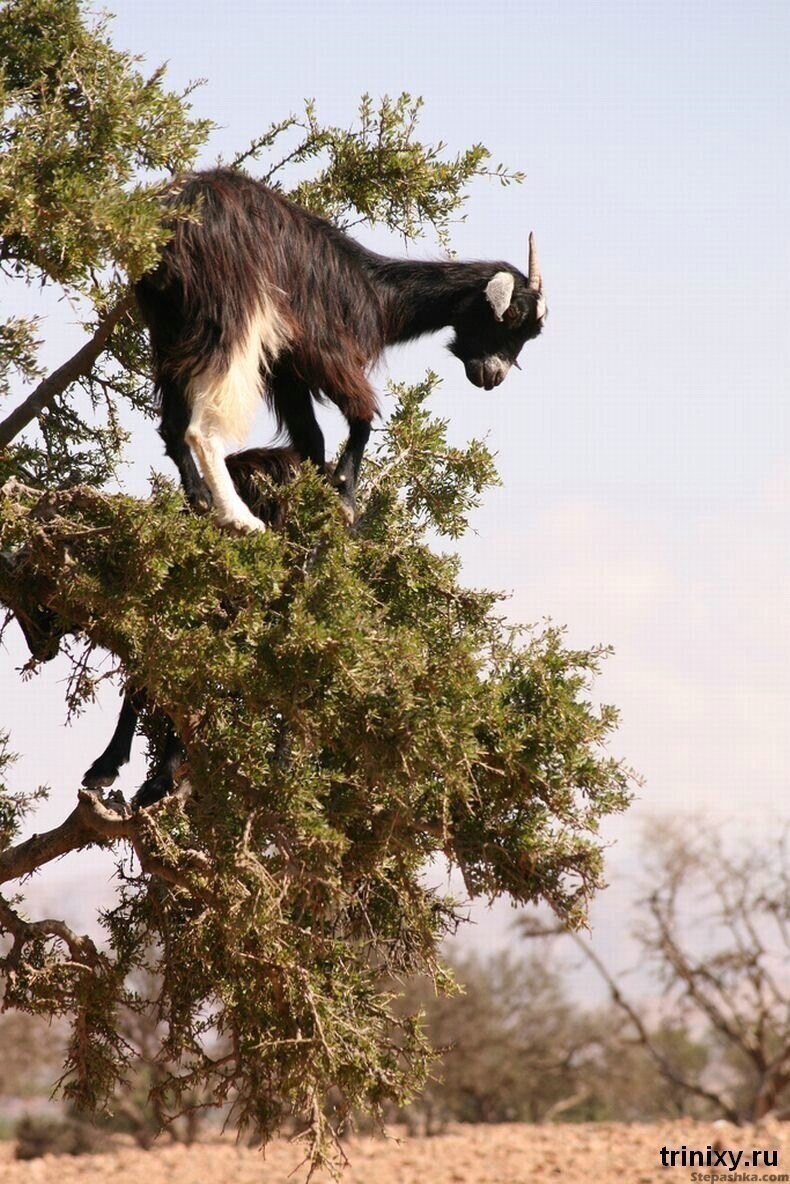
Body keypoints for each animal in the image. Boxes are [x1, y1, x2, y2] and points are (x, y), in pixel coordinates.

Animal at [136, 166, 547, 532]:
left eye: (531, 336)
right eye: (510, 317)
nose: (494, 376)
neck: (377, 295)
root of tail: (181, 214)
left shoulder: (286, 369)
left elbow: (311, 438)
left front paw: (314, 499)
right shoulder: (322, 348)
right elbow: (362, 414)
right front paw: (345, 498)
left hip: (170, 324)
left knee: (172, 422)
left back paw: (200, 498)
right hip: (233, 310)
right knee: (202, 426)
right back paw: (238, 517)